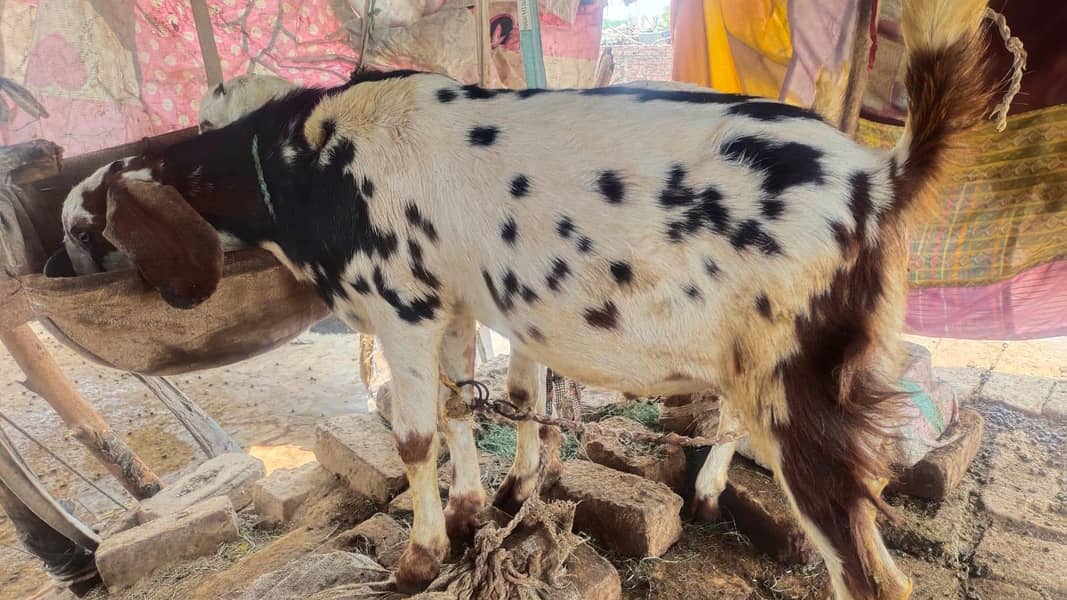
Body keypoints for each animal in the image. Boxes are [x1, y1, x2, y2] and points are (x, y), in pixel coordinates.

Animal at [56, 1, 994, 596]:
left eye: (83, 226)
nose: (65, 259)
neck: (306, 158)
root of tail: (877, 175)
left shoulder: (398, 305)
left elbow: (413, 435)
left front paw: (419, 559)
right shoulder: (450, 303)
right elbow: (464, 408)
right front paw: (476, 511)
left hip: (798, 387)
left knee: (870, 574)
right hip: (757, 362)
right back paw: (705, 491)